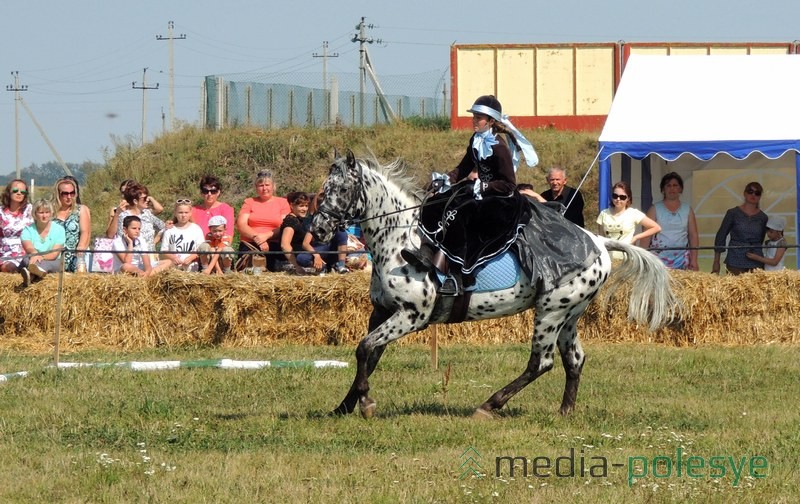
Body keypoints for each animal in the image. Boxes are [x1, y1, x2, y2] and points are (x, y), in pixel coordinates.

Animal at [310, 152, 680, 420]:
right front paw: (344, 406)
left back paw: (490, 405)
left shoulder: (411, 316)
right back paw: (564, 412)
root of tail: (599, 242)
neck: (399, 240)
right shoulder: (383, 311)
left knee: (540, 362)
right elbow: (368, 354)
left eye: (342, 190)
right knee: (574, 359)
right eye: (323, 189)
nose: (317, 229)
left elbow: (364, 348)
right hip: (569, 314)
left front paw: (365, 404)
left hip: (550, 311)